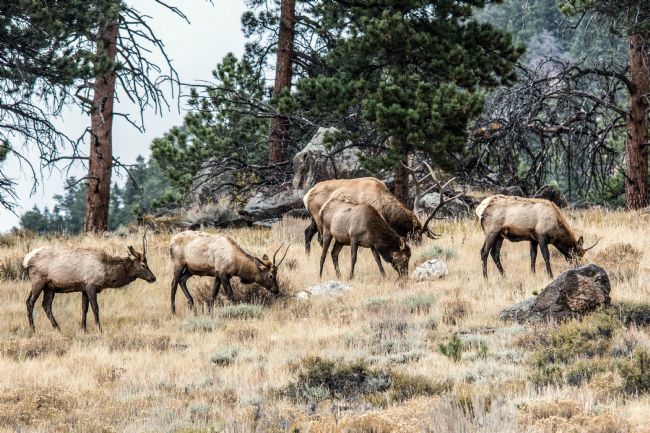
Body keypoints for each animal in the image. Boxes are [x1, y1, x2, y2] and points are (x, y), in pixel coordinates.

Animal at [23, 233, 156, 332]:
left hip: (50, 287)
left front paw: (84, 329)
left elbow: (84, 308)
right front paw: (99, 329)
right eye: (143, 265)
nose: (153, 278)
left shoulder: (84, 288)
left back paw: (57, 328)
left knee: (46, 305)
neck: (105, 273)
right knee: (30, 302)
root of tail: (25, 260)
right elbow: (95, 308)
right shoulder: (91, 285)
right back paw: (33, 329)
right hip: (38, 280)